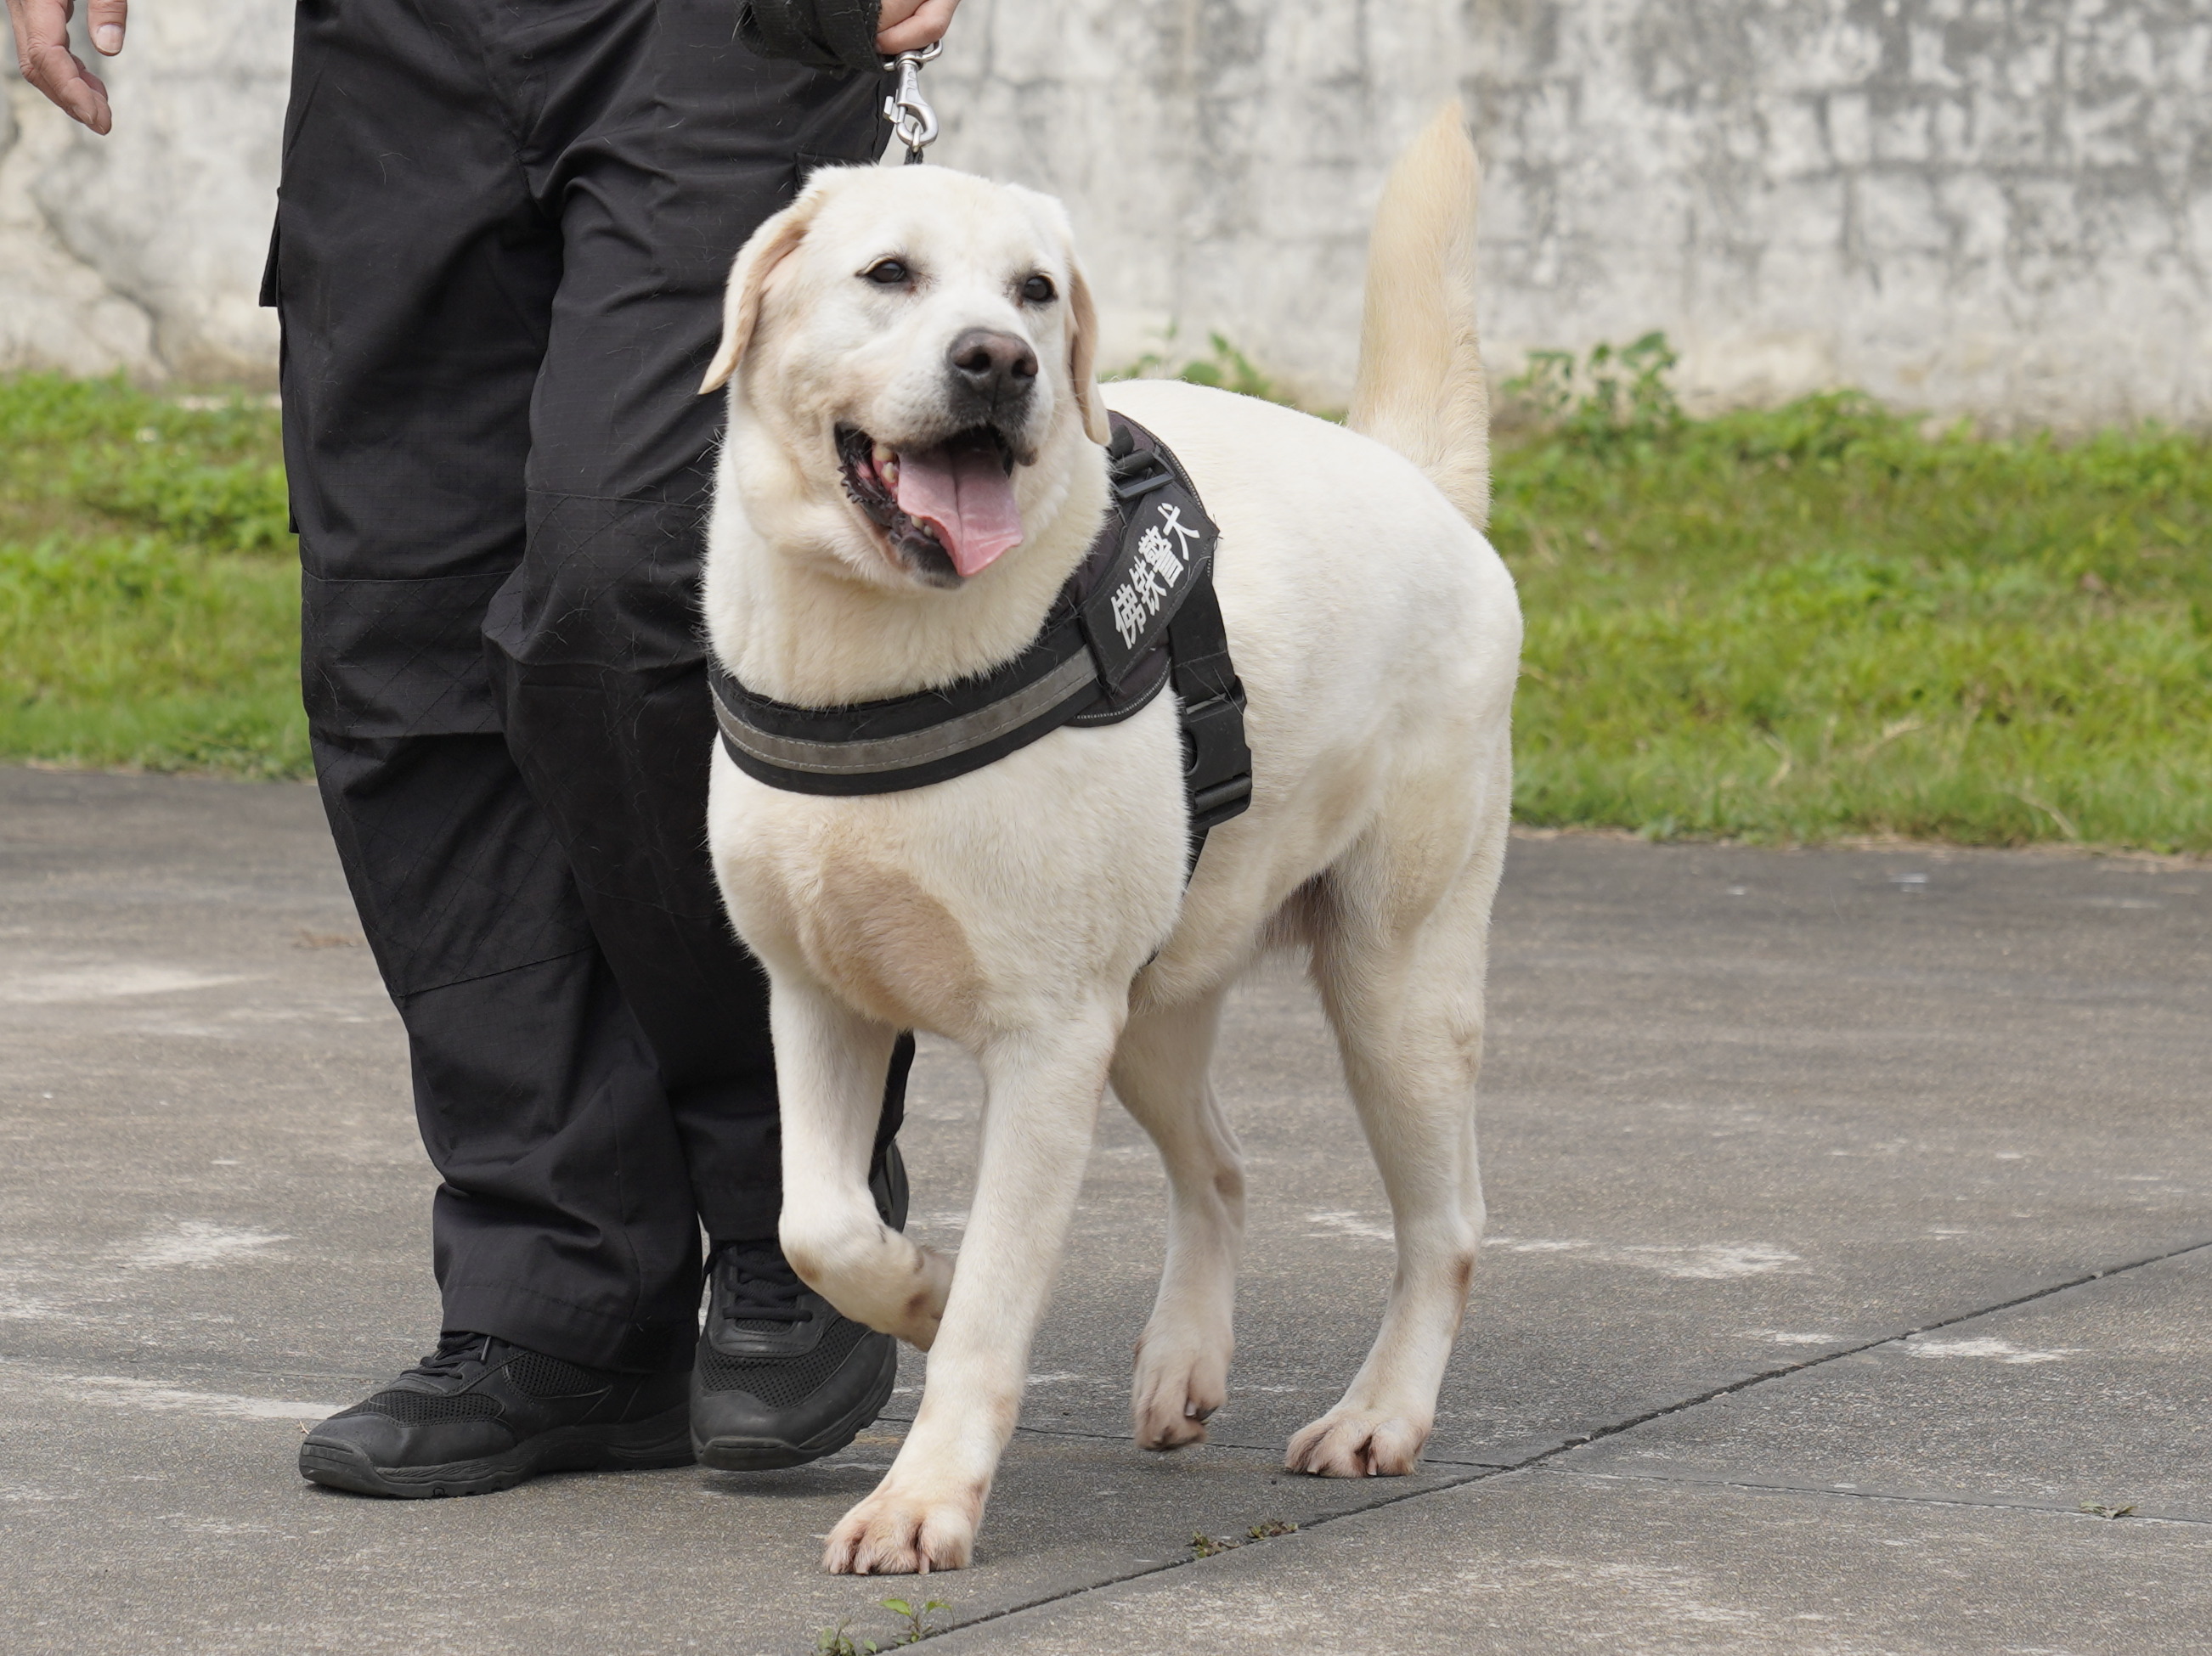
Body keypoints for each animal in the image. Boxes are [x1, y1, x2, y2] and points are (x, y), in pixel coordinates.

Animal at [698, 106, 1513, 1574]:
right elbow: (819, 1222)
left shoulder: (1046, 1039)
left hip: (1396, 984)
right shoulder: (818, 994)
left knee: (1448, 1226)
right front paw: (917, 1286)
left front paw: (923, 1497)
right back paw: (1185, 1363)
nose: (1000, 364)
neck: (880, 650)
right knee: (1226, 1168)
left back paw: (1378, 1415)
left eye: (1033, 291)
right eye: (890, 273)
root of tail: (1418, 483)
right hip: (1154, 1001)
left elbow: (990, 1313)